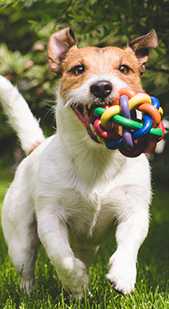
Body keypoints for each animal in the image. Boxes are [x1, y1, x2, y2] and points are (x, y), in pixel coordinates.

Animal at [0, 28, 158, 296]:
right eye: (78, 69)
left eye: (124, 68)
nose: (102, 87)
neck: (95, 157)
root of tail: (35, 148)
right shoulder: (50, 217)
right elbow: (61, 257)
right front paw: (77, 280)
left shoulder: (134, 210)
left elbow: (129, 243)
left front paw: (123, 275)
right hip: (19, 235)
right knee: (26, 265)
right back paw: (34, 292)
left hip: (88, 246)